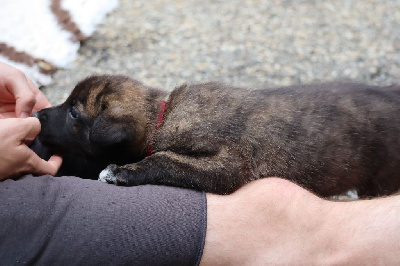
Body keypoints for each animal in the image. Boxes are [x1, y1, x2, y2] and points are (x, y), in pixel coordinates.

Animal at [34, 75, 400, 197]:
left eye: (73, 113)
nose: (38, 115)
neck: (162, 117)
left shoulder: (228, 164)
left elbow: (163, 160)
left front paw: (119, 172)